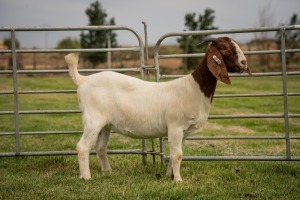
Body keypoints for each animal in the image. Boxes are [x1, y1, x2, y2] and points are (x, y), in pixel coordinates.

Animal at [65, 36, 251, 182]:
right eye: (224, 48)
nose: (244, 63)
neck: (194, 89)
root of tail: (83, 80)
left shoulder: (183, 131)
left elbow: (175, 154)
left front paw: (170, 175)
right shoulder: (175, 126)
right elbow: (177, 154)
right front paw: (178, 180)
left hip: (105, 125)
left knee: (100, 147)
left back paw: (107, 172)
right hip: (92, 120)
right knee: (82, 146)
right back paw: (86, 177)